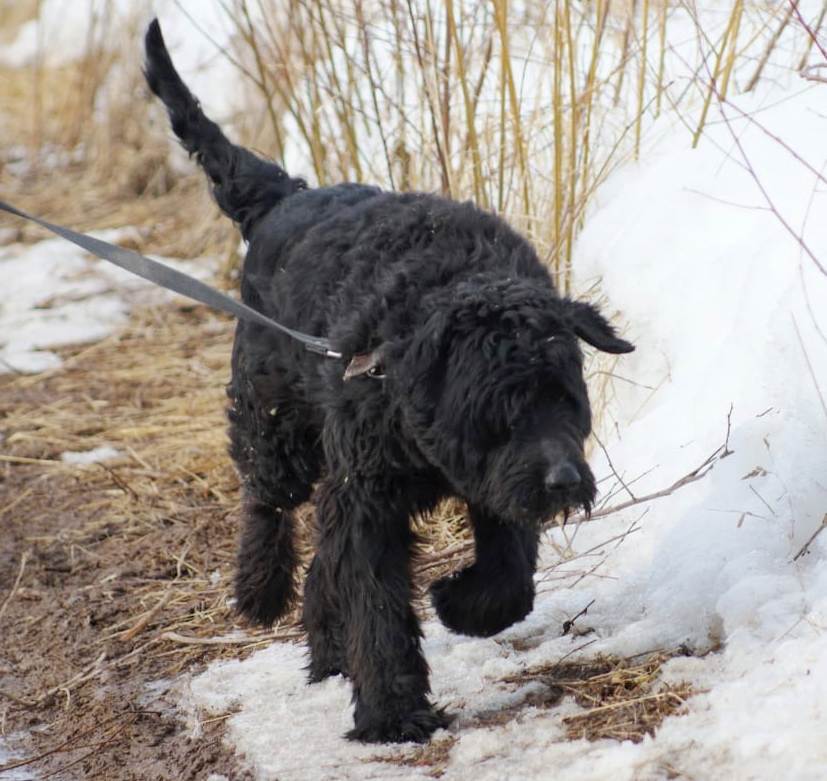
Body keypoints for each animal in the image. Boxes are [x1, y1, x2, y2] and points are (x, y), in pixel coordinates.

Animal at [144, 19, 632, 744]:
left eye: (566, 399)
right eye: (501, 408)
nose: (564, 481)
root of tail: (286, 197)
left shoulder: (493, 480)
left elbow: (510, 571)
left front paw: (460, 602)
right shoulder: (373, 495)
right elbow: (375, 602)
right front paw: (393, 712)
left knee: (321, 556)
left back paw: (325, 646)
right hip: (273, 418)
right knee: (266, 501)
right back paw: (260, 589)